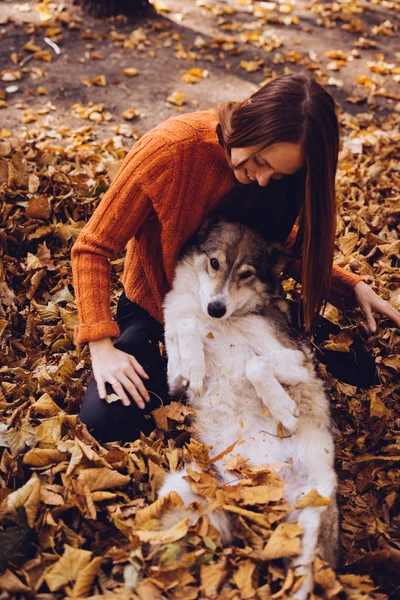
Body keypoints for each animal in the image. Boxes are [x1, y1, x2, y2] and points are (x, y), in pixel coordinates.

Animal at [158, 217, 340, 600]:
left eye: (246, 274)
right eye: (214, 263)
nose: (216, 308)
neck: (219, 323)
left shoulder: (298, 361)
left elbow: (253, 365)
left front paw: (283, 408)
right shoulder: (173, 382)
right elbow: (185, 329)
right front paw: (195, 363)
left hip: (310, 521)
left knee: (303, 582)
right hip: (180, 493)